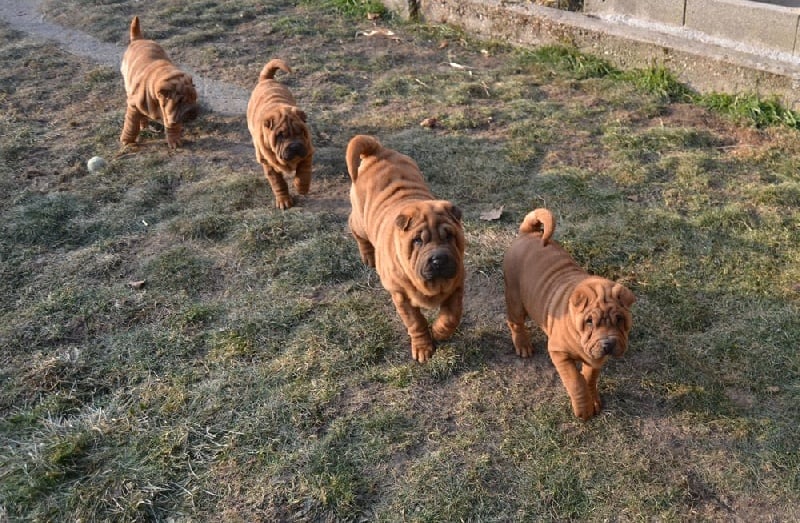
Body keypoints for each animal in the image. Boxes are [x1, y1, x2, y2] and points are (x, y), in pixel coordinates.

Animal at [119, 16, 199, 147]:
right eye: (180, 101)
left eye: (194, 98)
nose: (193, 111)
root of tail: (138, 40)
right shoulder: (133, 106)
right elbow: (131, 125)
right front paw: (127, 140)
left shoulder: (169, 113)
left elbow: (172, 126)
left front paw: (174, 141)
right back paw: (143, 124)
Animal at [245, 58, 314, 210]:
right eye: (280, 136)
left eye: (301, 131)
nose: (294, 146)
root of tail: (266, 79)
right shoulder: (268, 163)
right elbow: (278, 183)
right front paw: (284, 200)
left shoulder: (307, 152)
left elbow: (304, 173)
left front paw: (301, 188)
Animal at [346, 135, 466, 364]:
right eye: (417, 241)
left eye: (449, 236)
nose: (439, 259)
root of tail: (377, 151)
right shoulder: (400, 295)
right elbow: (416, 323)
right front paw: (423, 349)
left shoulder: (457, 284)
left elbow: (451, 315)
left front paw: (439, 332)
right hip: (360, 221)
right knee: (355, 229)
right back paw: (368, 256)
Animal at [500, 209, 636, 422]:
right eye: (589, 321)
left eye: (620, 320)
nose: (608, 344)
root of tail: (527, 233)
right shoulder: (559, 353)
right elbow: (575, 381)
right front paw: (583, 410)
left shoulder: (595, 357)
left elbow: (589, 377)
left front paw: (593, 401)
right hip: (515, 296)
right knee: (516, 323)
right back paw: (523, 346)